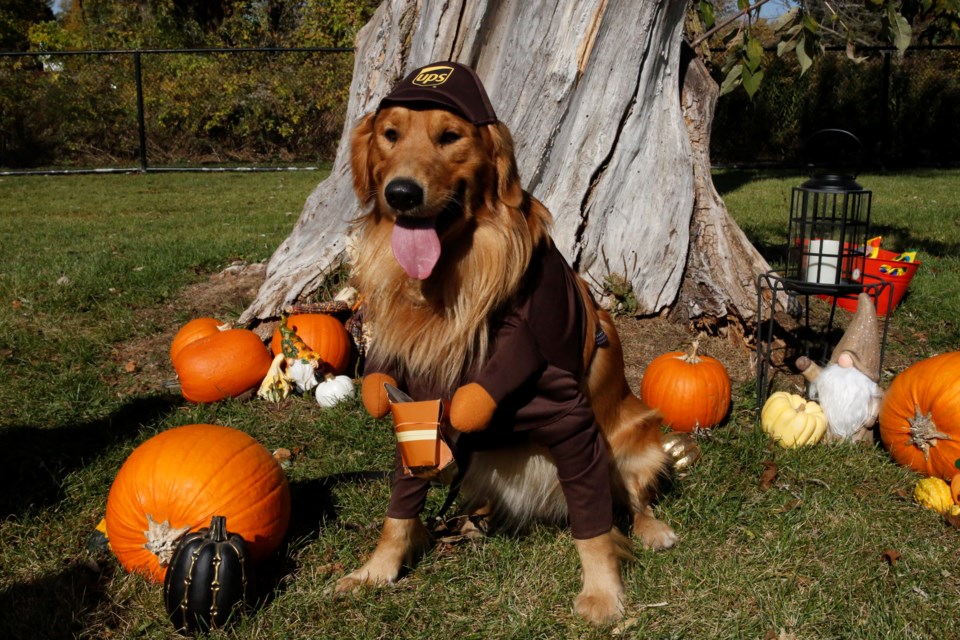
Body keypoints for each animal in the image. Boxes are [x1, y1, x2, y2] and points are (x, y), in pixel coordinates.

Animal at [336, 61, 676, 624]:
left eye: (450, 137)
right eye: (390, 134)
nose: (401, 194)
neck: (452, 284)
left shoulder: (571, 422)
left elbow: (594, 528)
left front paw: (603, 593)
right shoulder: (416, 411)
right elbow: (399, 511)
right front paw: (377, 570)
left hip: (636, 439)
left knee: (632, 498)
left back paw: (652, 529)